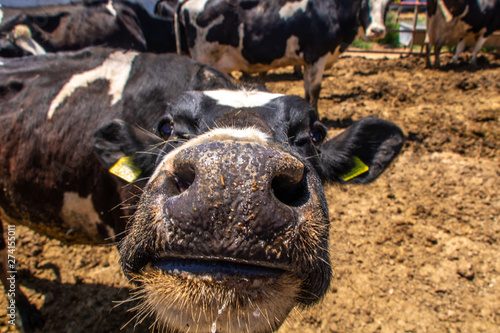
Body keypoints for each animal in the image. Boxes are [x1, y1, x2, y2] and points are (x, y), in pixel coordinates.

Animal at [172, 0, 394, 109]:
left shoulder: (308, 61)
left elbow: (307, 90)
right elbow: (315, 91)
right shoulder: (317, 55)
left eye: (388, 4)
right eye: (366, 3)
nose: (377, 30)